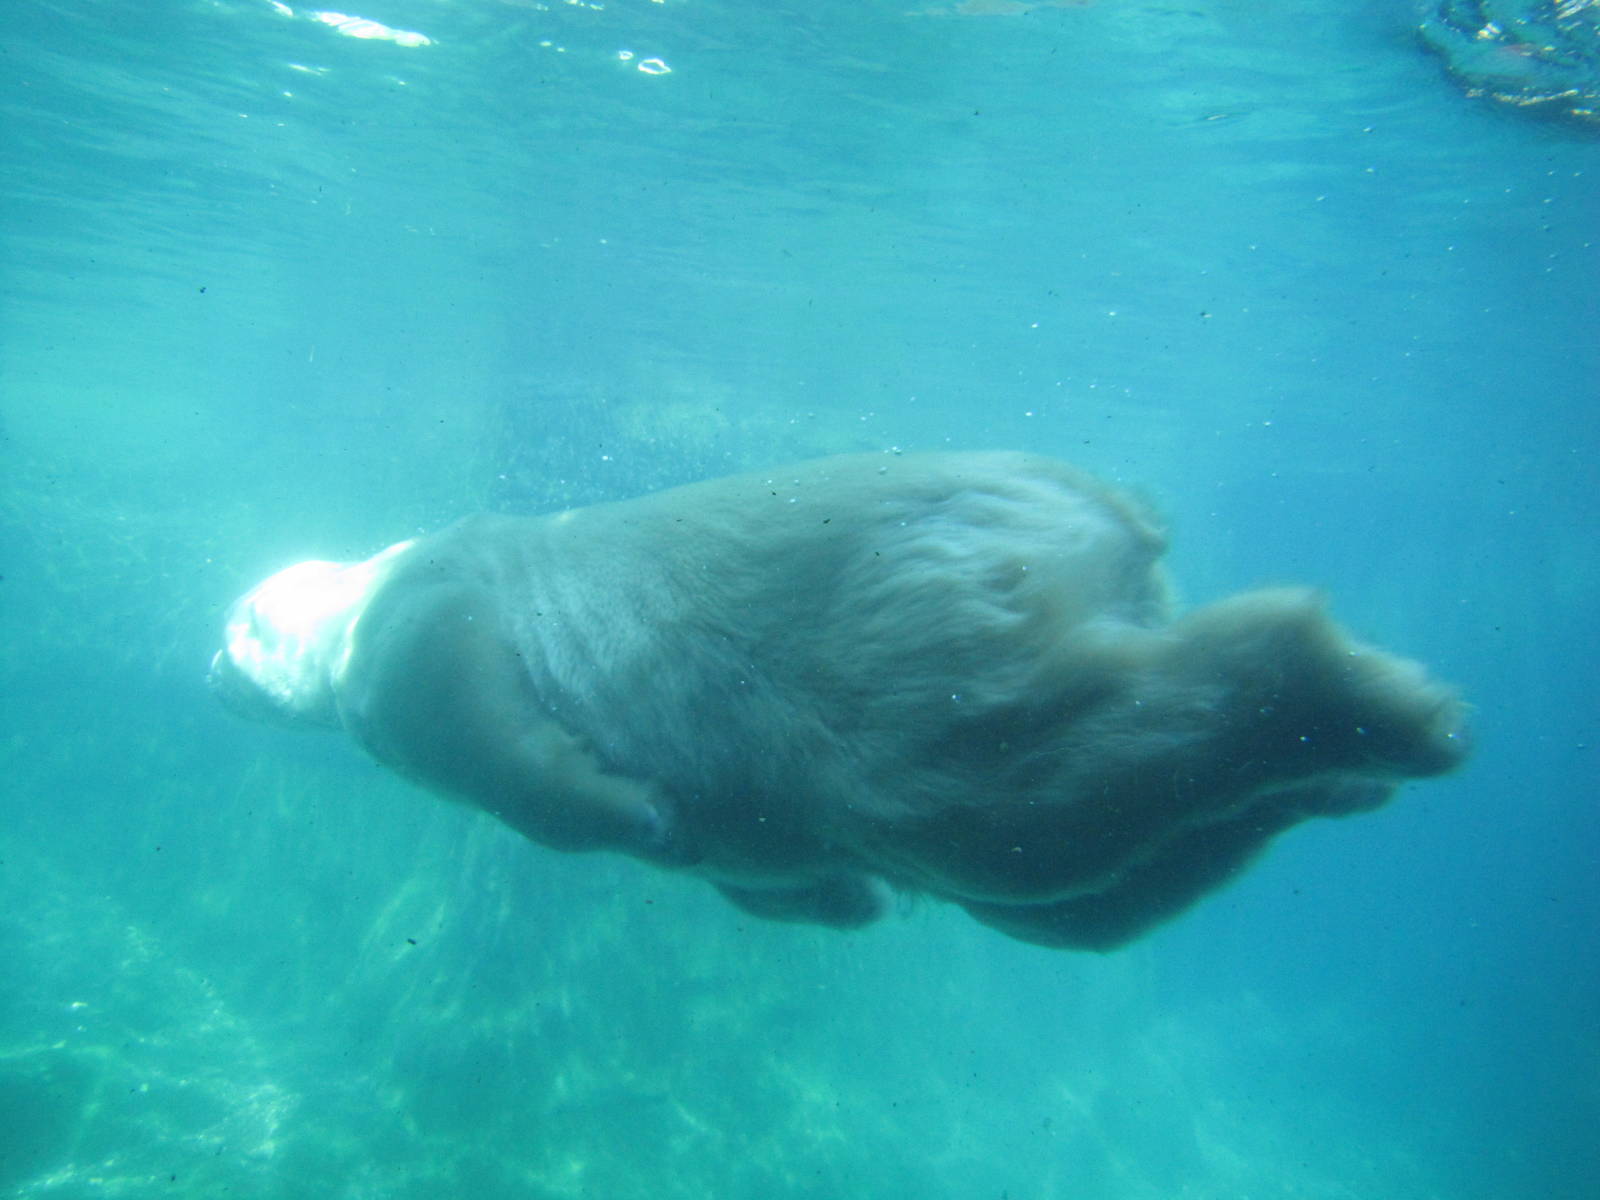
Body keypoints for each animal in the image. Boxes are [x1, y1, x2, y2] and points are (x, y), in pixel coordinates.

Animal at [209, 452, 1468, 950]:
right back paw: (1337, 779)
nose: (211, 677)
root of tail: (1096, 504)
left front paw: (633, 813)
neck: (356, 587)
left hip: (889, 636)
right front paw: (841, 900)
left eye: (231, 630)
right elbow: (775, 875)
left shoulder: (434, 599)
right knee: (1079, 890)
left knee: (1027, 804)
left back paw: (1385, 706)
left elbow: (475, 716)